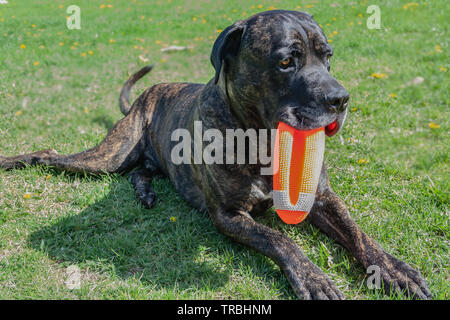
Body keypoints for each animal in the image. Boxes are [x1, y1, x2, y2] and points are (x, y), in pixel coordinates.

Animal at [0, 10, 432, 300]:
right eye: (286, 61)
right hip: (107, 156)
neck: (264, 138)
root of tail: (147, 93)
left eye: (327, 57)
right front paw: (314, 279)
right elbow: (280, 240)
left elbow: (359, 234)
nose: (340, 99)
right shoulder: (229, 215)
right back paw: (14, 160)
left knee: (142, 171)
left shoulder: (321, 197)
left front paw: (395, 270)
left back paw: (146, 191)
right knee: (52, 154)